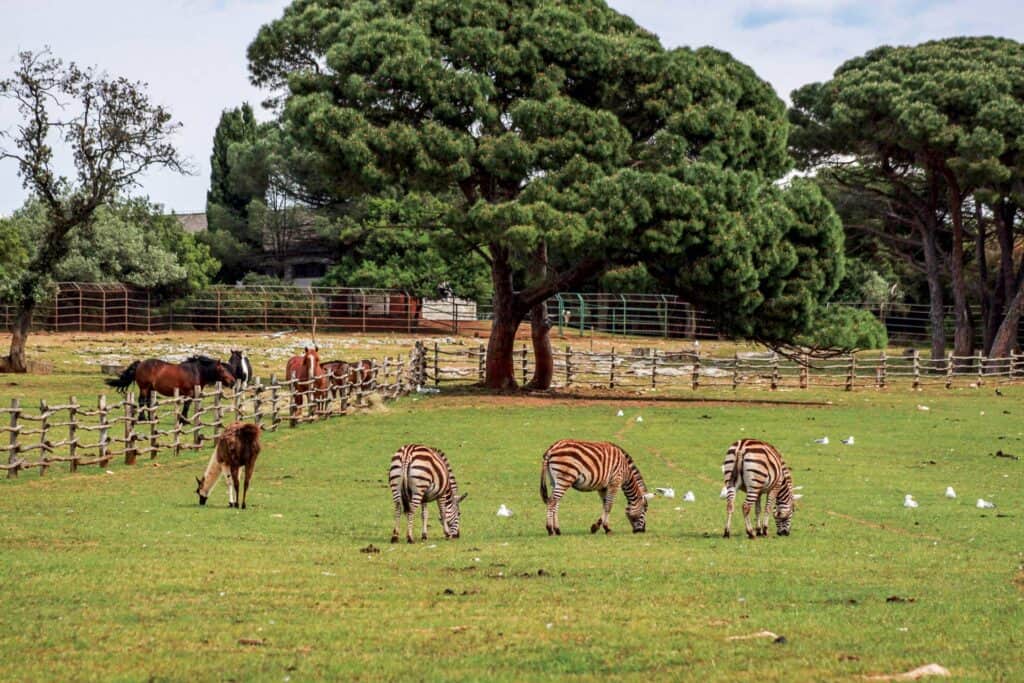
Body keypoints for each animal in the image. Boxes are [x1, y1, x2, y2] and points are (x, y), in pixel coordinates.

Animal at [107, 358, 235, 421]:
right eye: (222, 370)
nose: (233, 381)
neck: (196, 371)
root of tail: (140, 364)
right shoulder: (188, 393)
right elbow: (186, 405)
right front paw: (184, 420)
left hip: (150, 389)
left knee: (148, 402)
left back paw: (151, 418)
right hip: (144, 388)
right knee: (142, 401)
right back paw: (142, 418)